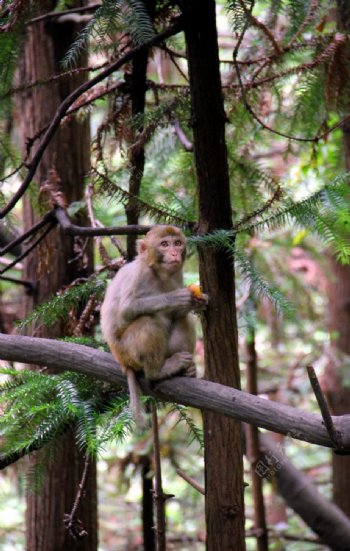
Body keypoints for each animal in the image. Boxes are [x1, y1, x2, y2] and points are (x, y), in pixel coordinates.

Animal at [100, 224, 208, 426]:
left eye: (177, 243)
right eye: (164, 244)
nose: (174, 253)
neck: (159, 273)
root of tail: (122, 361)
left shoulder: (177, 274)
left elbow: (178, 314)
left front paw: (197, 302)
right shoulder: (138, 275)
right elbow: (126, 309)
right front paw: (175, 298)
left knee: (184, 319)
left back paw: (185, 370)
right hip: (128, 351)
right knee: (148, 321)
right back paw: (157, 371)